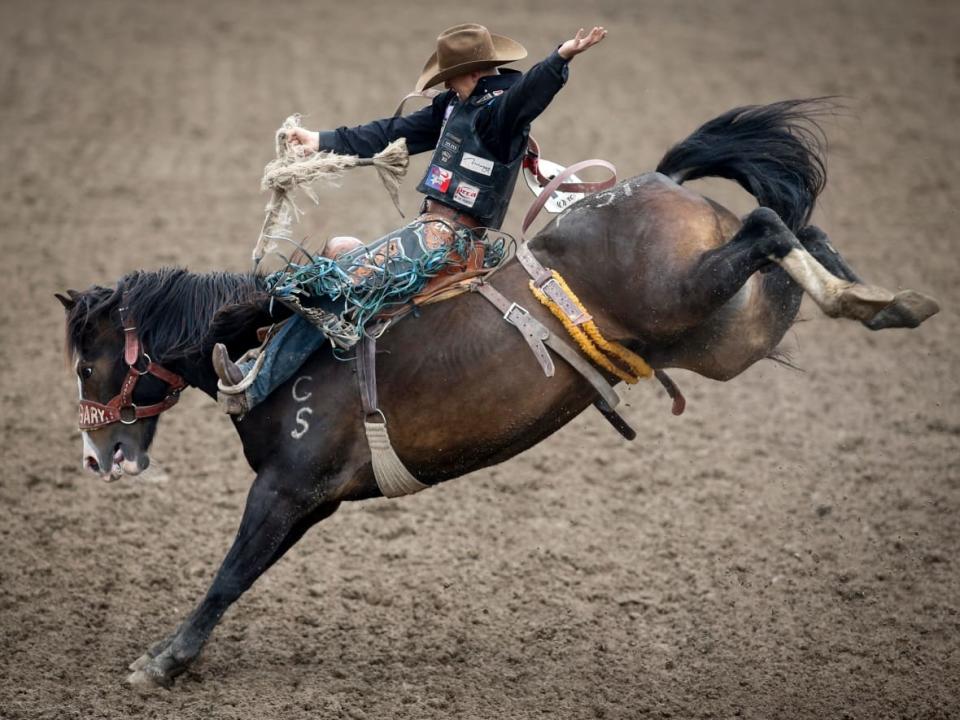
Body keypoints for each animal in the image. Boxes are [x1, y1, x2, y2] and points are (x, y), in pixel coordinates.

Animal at [54, 98, 936, 688]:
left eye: (88, 367)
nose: (98, 455)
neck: (267, 346)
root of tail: (657, 181)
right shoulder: (314, 502)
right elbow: (243, 571)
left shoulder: (285, 489)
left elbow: (231, 573)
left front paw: (161, 662)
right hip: (725, 335)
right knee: (793, 237)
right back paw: (883, 301)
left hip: (700, 299)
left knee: (772, 228)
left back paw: (862, 297)